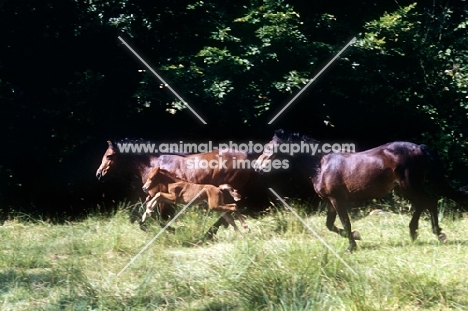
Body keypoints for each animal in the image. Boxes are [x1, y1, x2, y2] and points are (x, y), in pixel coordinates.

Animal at [256, 130, 468, 252]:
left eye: (270, 147)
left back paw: (438, 234)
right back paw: (414, 233)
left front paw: (351, 246)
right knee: (421, 205)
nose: (257, 167)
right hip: (404, 189)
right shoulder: (330, 201)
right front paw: (356, 237)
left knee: (429, 202)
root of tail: (419, 148)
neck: (321, 165)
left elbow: (345, 222)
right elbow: (329, 225)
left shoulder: (338, 200)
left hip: (411, 186)